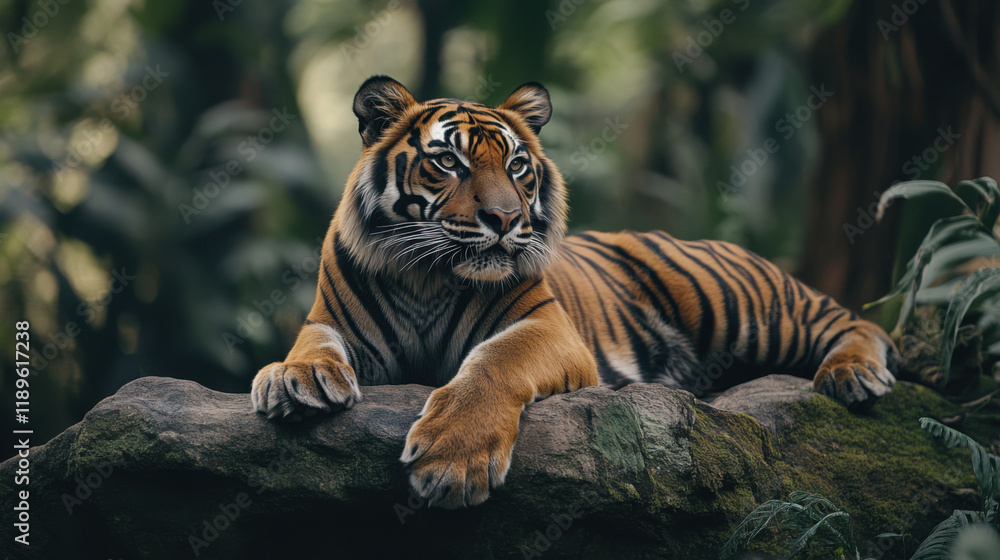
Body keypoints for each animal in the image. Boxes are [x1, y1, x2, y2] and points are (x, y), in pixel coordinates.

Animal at [250, 75, 900, 509]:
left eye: (516, 166)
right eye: (449, 162)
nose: (505, 219)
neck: (427, 275)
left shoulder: (547, 327)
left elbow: (493, 362)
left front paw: (452, 462)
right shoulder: (330, 320)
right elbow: (311, 346)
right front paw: (293, 379)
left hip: (744, 305)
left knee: (854, 320)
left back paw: (852, 375)